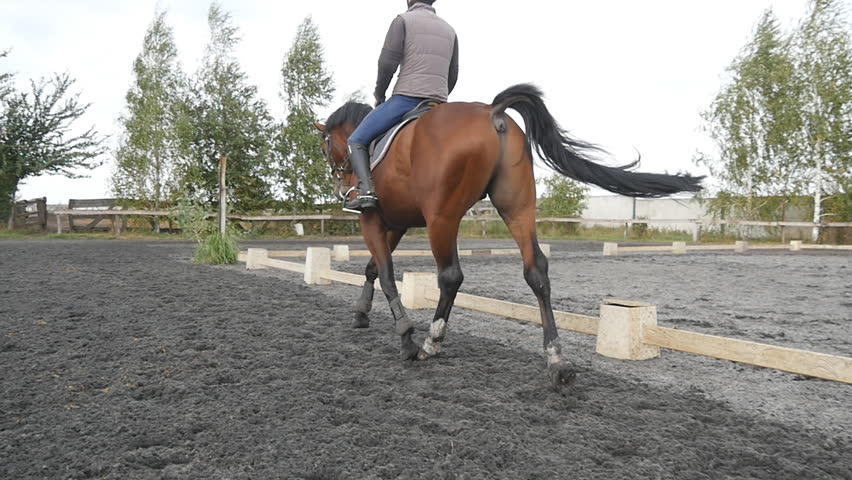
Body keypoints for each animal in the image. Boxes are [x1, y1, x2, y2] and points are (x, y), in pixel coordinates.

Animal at [314, 84, 702, 390]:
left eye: (325, 145)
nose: (340, 184)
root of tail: (492, 112)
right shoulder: (395, 223)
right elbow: (372, 269)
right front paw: (361, 314)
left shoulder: (372, 220)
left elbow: (386, 274)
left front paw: (405, 338)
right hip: (518, 207)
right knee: (537, 271)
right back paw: (557, 362)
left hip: (443, 218)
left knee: (450, 276)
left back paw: (429, 343)